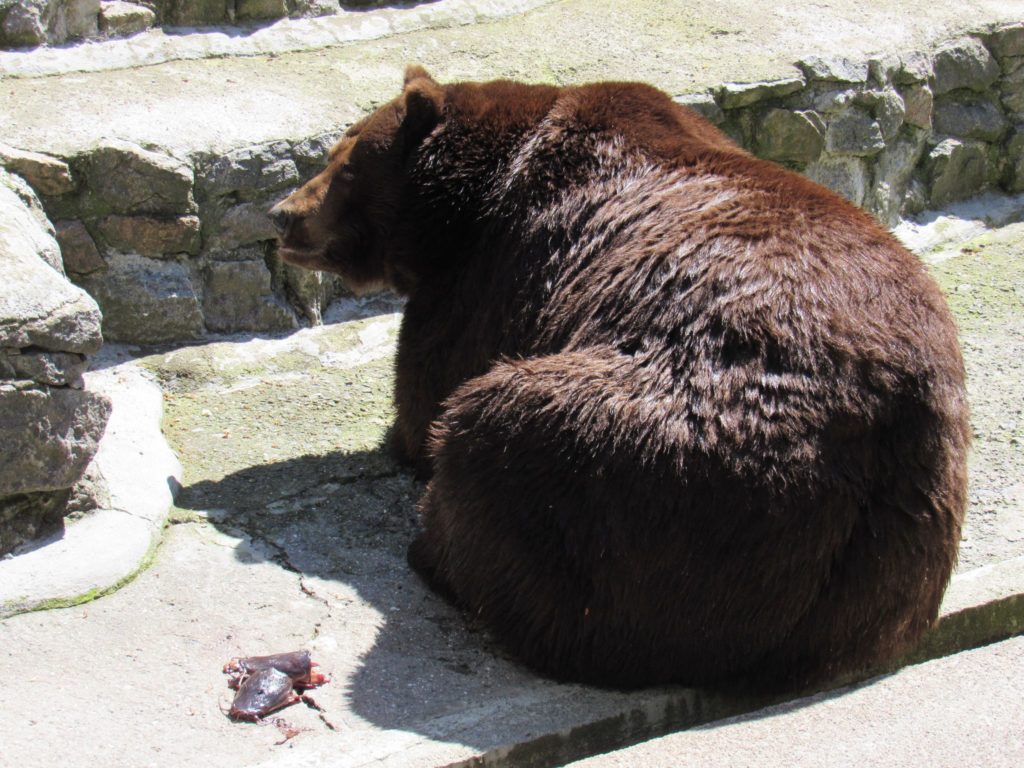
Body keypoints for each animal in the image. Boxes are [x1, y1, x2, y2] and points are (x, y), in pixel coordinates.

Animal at [270, 64, 966, 692]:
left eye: (343, 161)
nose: (281, 214)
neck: (461, 204)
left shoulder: (482, 284)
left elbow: (425, 397)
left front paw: (400, 441)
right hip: (892, 550)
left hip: (664, 447)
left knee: (497, 430)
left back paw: (436, 550)